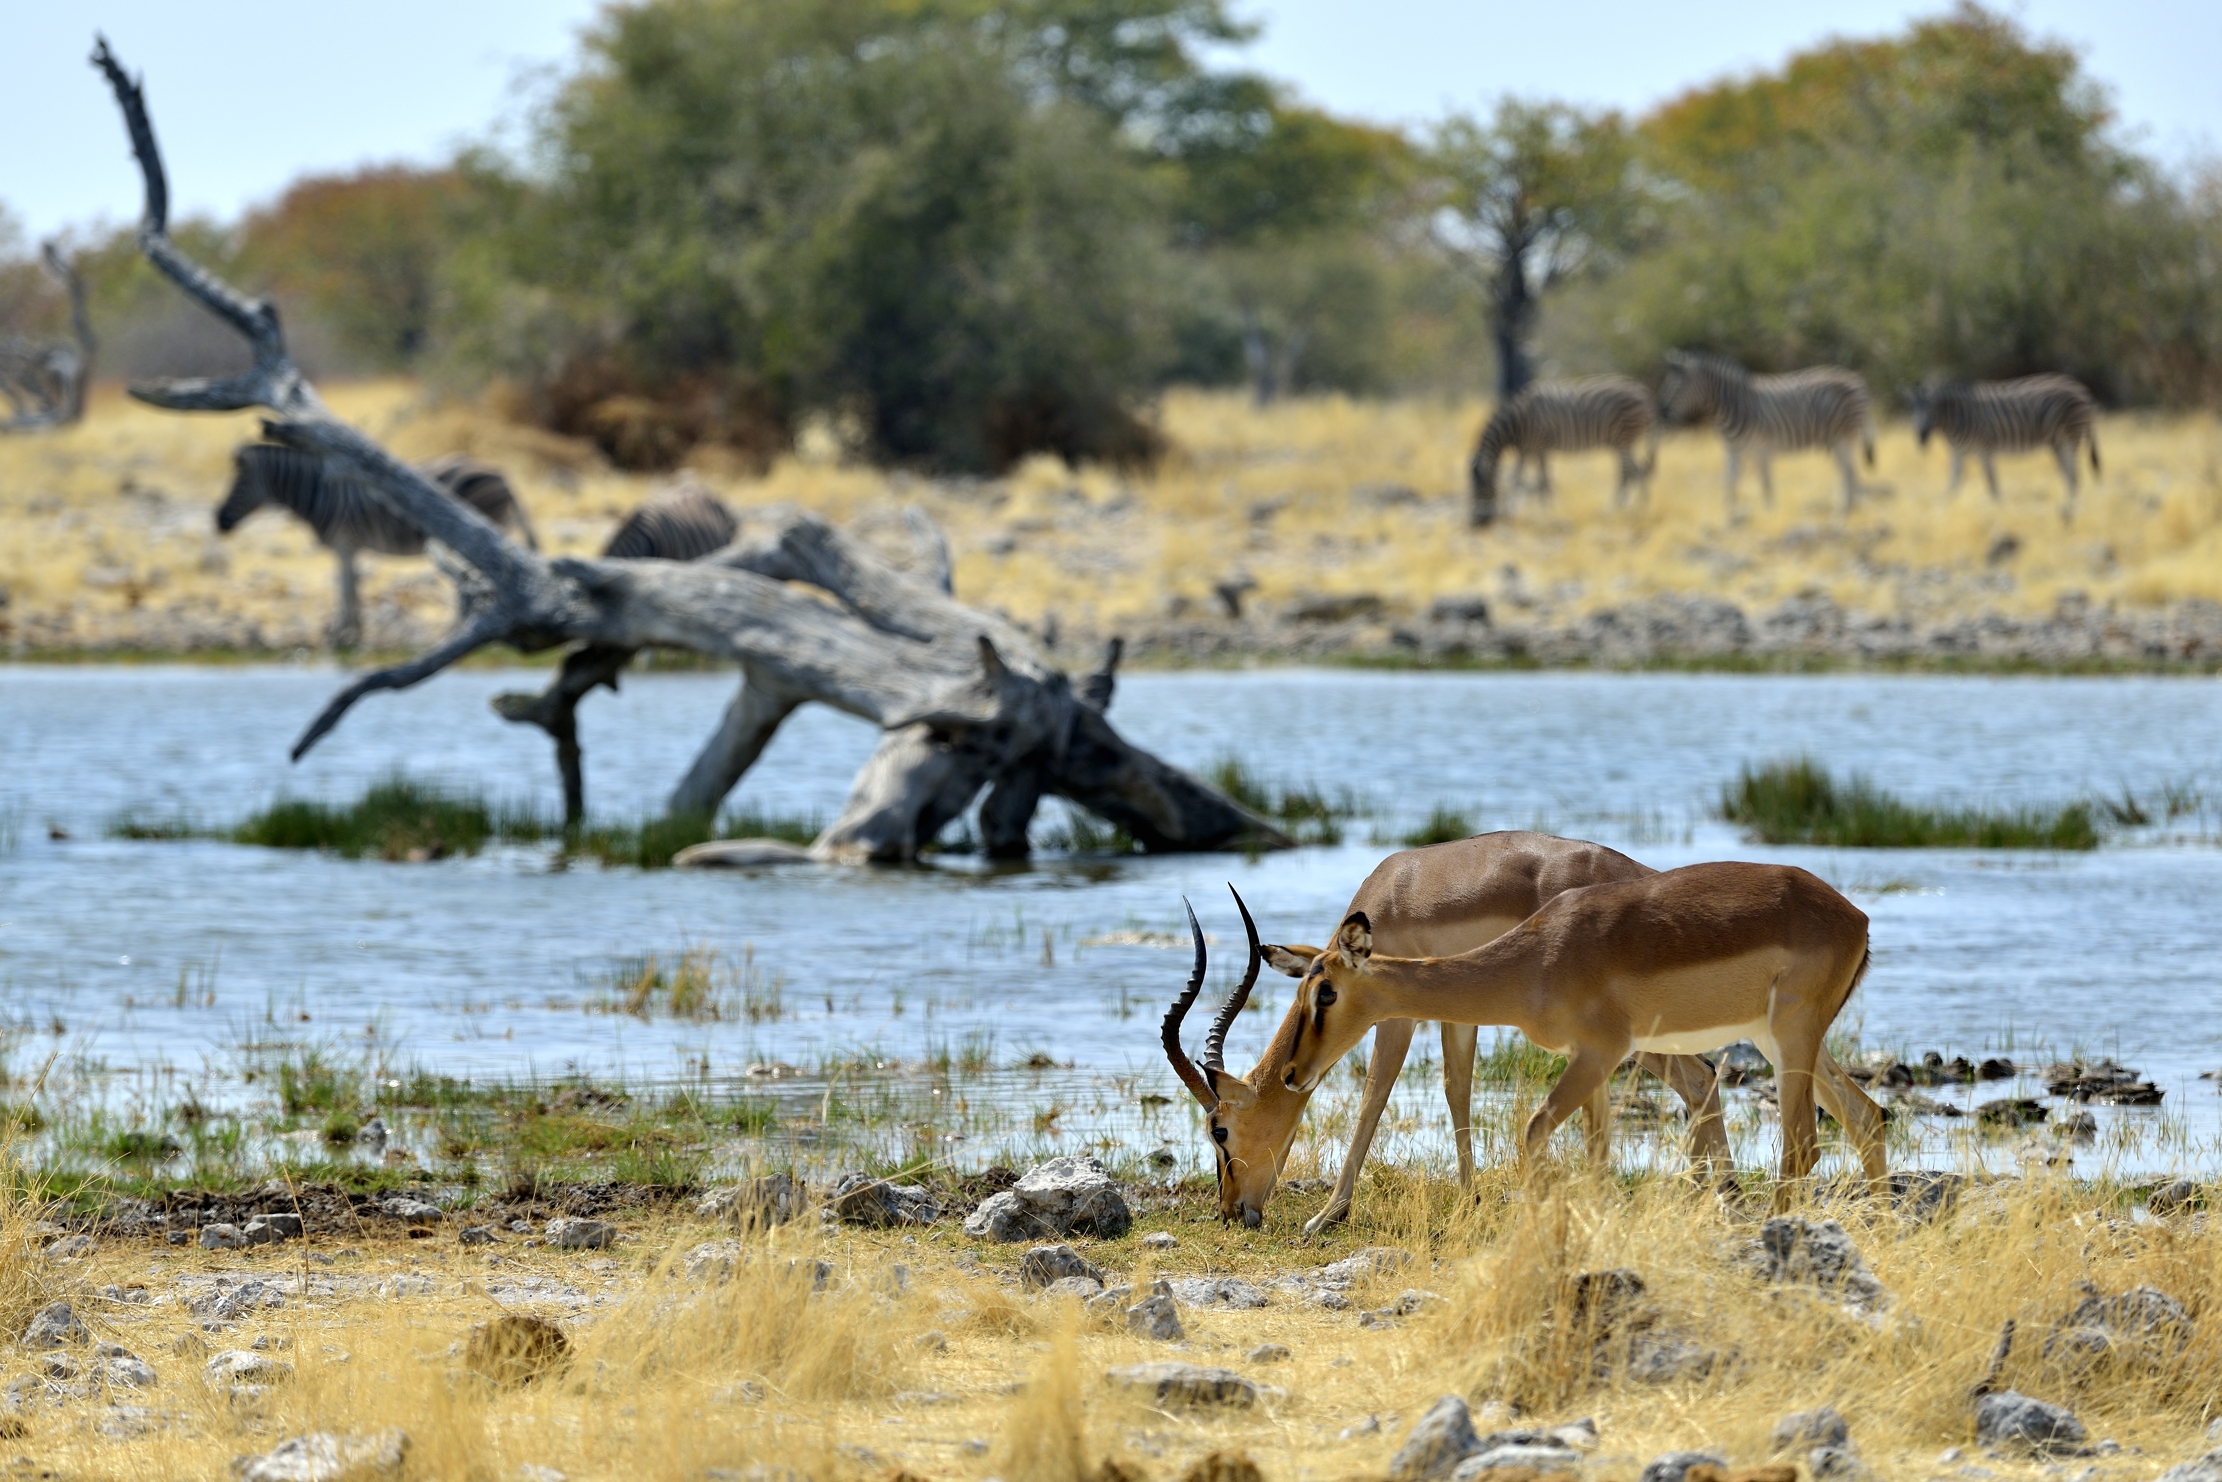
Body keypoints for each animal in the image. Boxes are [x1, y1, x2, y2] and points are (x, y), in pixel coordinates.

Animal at [1161, 833, 1734, 1231]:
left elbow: (1373, 1097)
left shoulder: (1396, 1015)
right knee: (1697, 1077)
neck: (1390, 896)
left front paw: (1328, 1215)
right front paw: (1468, 1200)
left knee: (1698, 1076)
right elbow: (1457, 1089)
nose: (1231, 1212)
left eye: (1218, 1129)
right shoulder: (1457, 1015)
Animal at [1274, 861, 1888, 1208]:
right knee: (1866, 1116)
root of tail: (1856, 918)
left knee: (1804, 1143)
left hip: (1789, 1037)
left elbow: (1533, 1132)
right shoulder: (1591, 1062)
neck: (1541, 959)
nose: (1291, 1073)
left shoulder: (1600, 1054)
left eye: (1325, 992)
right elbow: (1597, 1158)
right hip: (1780, 1039)